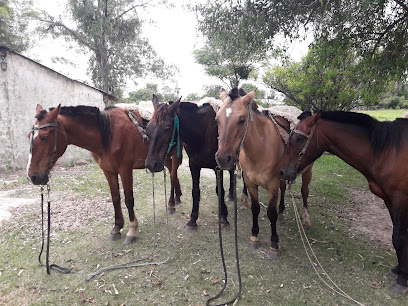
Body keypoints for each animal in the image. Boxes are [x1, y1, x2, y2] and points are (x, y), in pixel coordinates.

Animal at [27, 104, 182, 245]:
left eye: (44, 137)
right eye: (29, 136)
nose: (32, 176)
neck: (108, 135)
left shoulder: (125, 170)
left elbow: (128, 199)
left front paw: (132, 230)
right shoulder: (108, 171)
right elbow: (115, 198)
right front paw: (117, 228)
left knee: (173, 175)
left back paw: (171, 205)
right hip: (163, 159)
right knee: (172, 173)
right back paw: (177, 197)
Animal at [144, 94, 245, 231]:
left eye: (166, 128)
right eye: (148, 128)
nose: (151, 164)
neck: (202, 133)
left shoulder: (217, 167)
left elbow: (219, 190)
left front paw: (224, 217)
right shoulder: (194, 165)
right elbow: (195, 192)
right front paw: (192, 220)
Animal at [215, 88, 314, 258]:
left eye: (242, 120)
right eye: (216, 119)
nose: (223, 159)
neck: (260, 149)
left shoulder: (272, 185)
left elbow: (270, 212)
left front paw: (274, 244)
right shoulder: (250, 183)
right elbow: (255, 208)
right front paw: (254, 237)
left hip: (307, 172)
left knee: (305, 192)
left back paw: (306, 221)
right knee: (284, 189)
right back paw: (282, 213)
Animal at [278, 111, 408, 296]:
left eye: (299, 139)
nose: (281, 171)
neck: (387, 153)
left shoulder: (400, 200)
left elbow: (399, 236)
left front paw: (402, 279)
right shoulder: (390, 201)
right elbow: (398, 237)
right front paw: (398, 271)